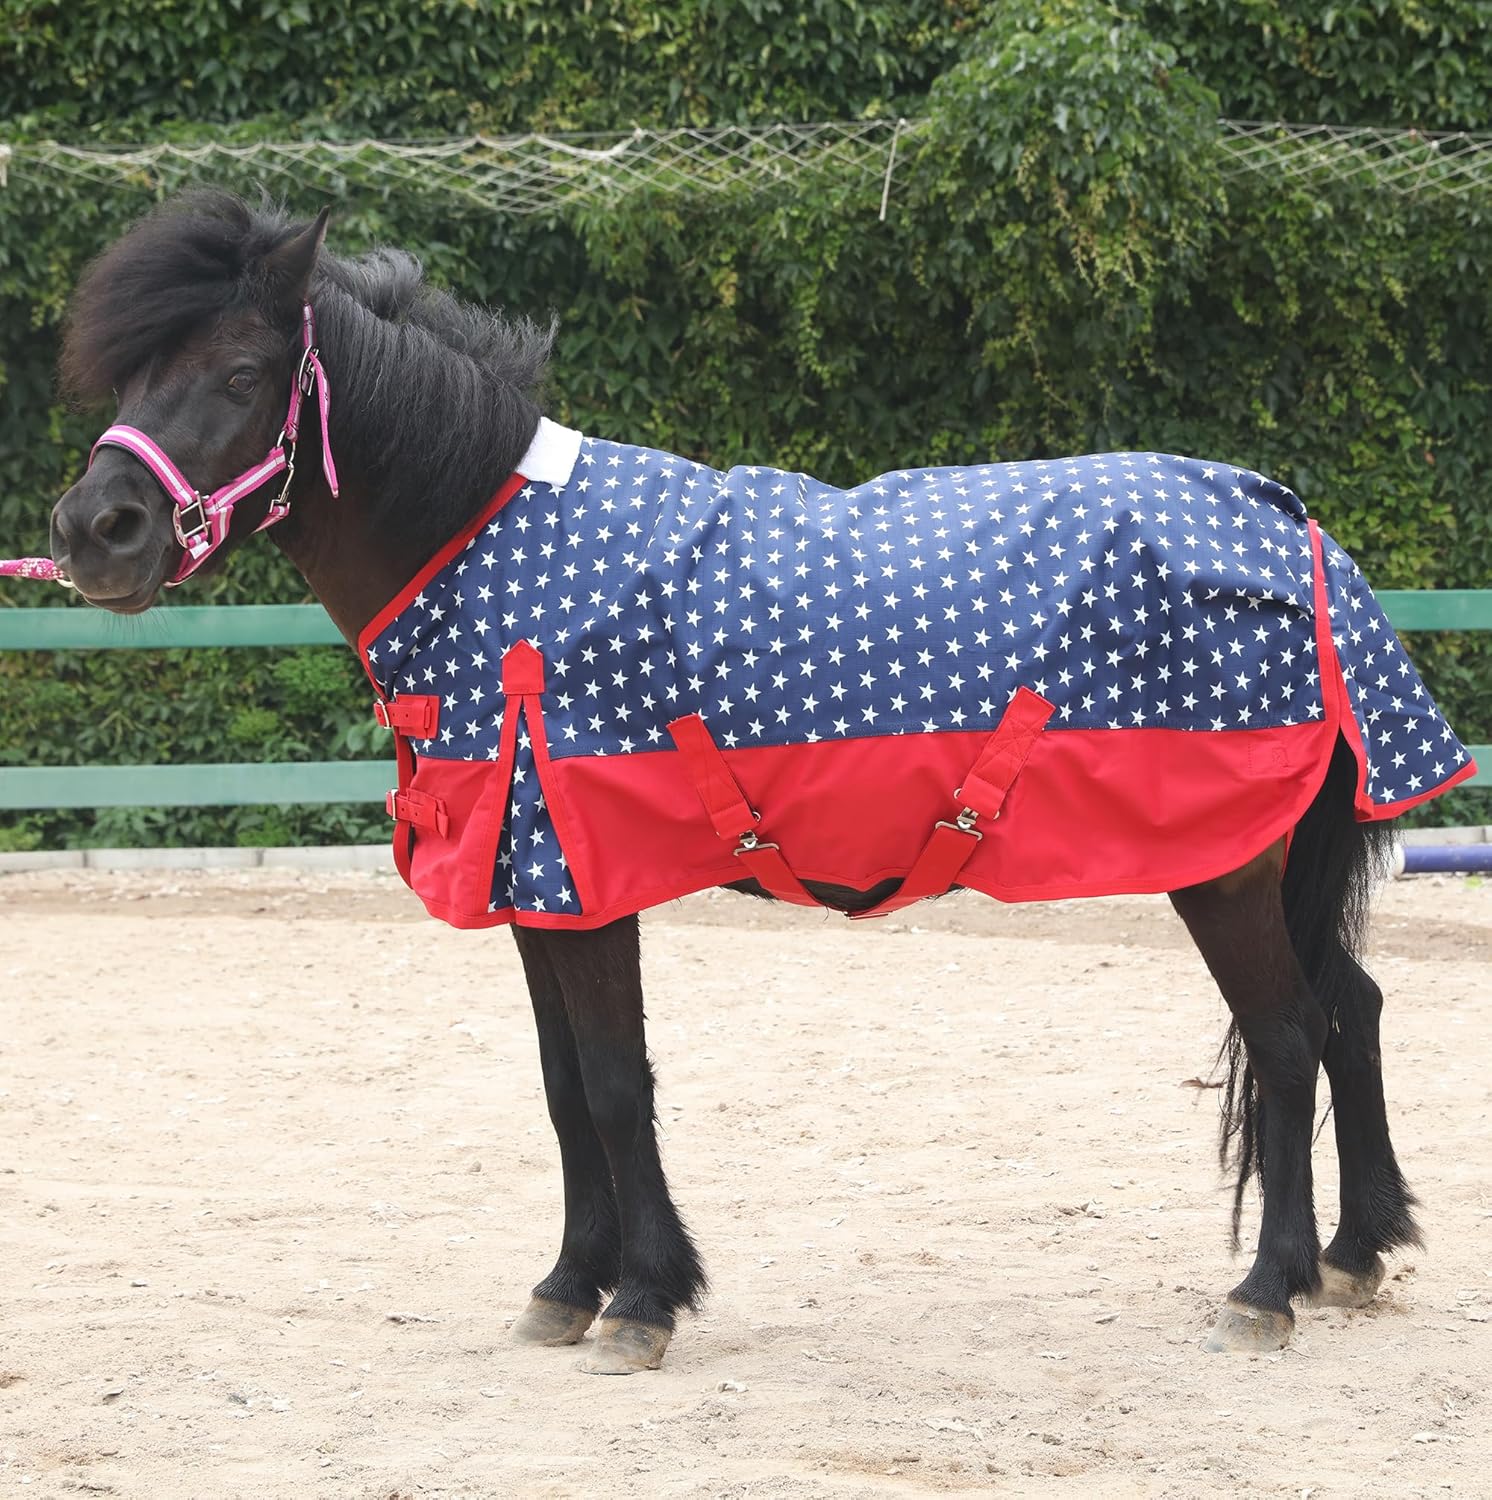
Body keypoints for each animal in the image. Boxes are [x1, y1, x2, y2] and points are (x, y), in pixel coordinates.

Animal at [38, 191, 1464, 1375]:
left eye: (239, 371)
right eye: (131, 372)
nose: (93, 530)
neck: (491, 557)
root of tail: (1286, 521)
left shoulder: (585, 880)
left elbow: (615, 1084)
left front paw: (641, 1306)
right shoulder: (539, 892)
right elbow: (563, 1089)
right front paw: (569, 1287)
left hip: (1222, 867)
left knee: (1287, 1037)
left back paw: (1268, 1290)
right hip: (1266, 863)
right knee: (1351, 1010)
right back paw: (1353, 1255)